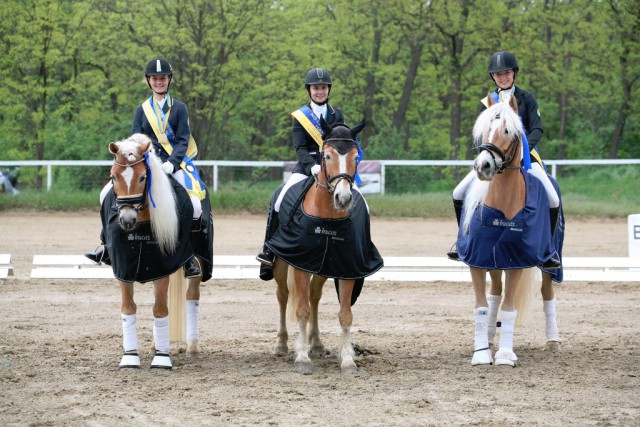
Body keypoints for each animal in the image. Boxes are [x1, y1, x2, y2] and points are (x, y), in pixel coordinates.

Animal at [102, 135, 212, 372]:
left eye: (143, 177)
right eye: (113, 176)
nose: (127, 220)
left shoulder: (163, 267)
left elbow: (160, 310)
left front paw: (162, 359)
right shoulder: (124, 269)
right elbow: (129, 308)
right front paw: (130, 357)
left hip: (198, 262)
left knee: (192, 296)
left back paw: (192, 347)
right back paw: (155, 345)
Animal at [264, 118, 380, 376]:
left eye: (356, 157)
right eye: (326, 156)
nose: (343, 199)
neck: (328, 220)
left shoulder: (347, 267)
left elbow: (345, 314)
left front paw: (347, 361)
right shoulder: (299, 264)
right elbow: (301, 310)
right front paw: (302, 358)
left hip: (322, 268)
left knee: (314, 297)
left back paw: (316, 343)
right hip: (281, 265)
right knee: (283, 296)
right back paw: (282, 344)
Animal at [456, 96, 564, 368]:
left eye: (507, 131)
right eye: (485, 129)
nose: (483, 166)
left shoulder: (516, 261)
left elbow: (508, 309)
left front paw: (505, 354)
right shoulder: (477, 259)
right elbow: (482, 306)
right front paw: (482, 352)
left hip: (547, 263)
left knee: (547, 293)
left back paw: (553, 341)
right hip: (493, 262)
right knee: (495, 292)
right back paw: (489, 336)